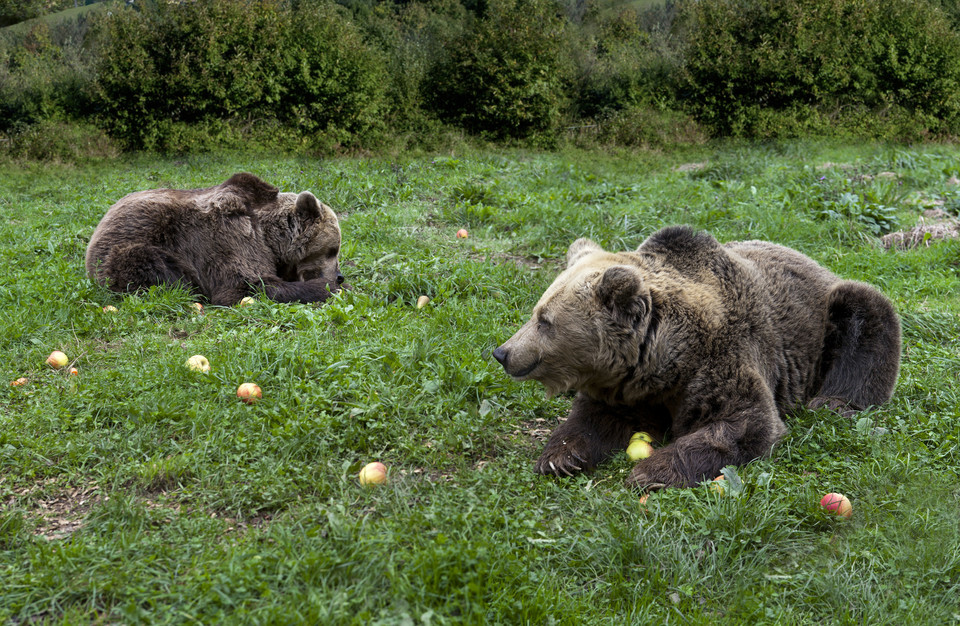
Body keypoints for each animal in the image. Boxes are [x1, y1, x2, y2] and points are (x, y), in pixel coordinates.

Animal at [84, 172, 344, 306]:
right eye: (333, 250)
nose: (339, 275)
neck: (267, 235)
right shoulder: (228, 236)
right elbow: (244, 285)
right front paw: (331, 287)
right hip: (126, 248)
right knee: (149, 264)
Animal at [492, 224, 904, 488]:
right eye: (536, 312)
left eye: (545, 321)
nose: (502, 352)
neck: (665, 361)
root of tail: (817, 263)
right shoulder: (626, 387)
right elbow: (592, 418)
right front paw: (560, 457)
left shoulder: (723, 359)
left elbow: (745, 423)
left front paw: (651, 472)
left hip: (824, 319)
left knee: (865, 311)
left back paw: (834, 401)